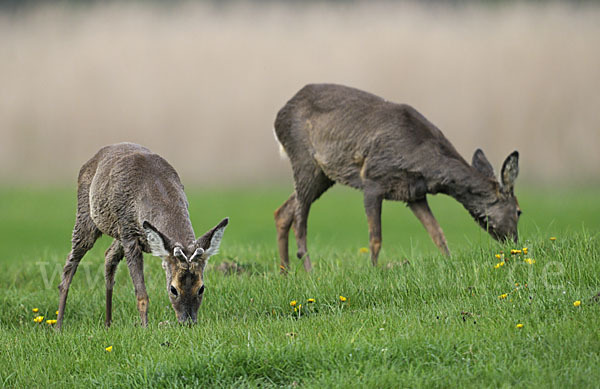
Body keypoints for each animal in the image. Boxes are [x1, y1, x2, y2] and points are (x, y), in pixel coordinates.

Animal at [55, 142, 229, 328]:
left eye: (201, 288)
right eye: (173, 289)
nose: (188, 322)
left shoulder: (128, 233)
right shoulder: (129, 236)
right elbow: (141, 294)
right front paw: (145, 327)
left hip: (118, 233)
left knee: (109, 256)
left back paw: (108, 323)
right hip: (86, 217)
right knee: (70, 263)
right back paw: (58, 325)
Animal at [274, 82, 516, 270]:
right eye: (519, 211)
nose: (514, 243)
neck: (423, 160)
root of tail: (278, 117)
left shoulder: (414, 194)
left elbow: (438, 233)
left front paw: (449, 262)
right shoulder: (373, 179)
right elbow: (375, 238)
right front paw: (373, 271)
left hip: (323, 175)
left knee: (283, 212)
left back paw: (286, 272)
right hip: (304, 160)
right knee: (300, 222)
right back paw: (308, 271)